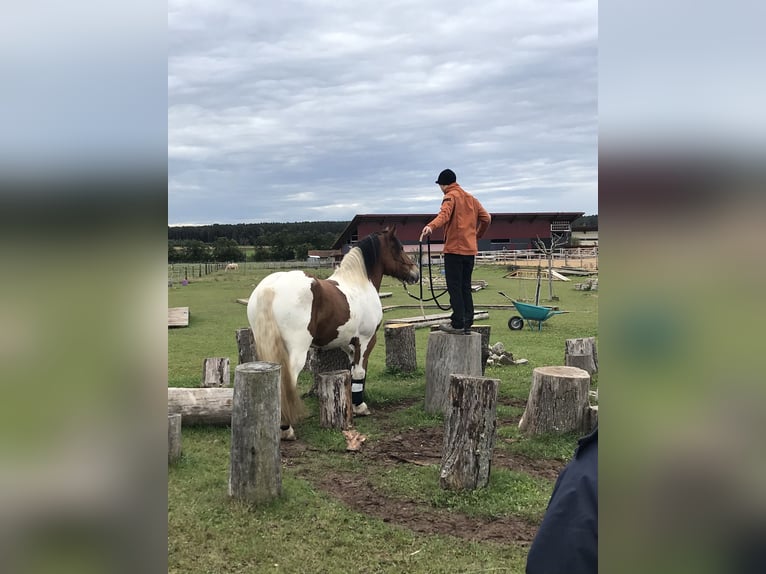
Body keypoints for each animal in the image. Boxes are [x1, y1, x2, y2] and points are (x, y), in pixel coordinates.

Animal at [248, 228, 420, 440]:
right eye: (400, 248)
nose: (415, 273)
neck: (359, 283)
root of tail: (270, 287)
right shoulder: (366, 340)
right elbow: (360, 371)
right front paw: (360, 407)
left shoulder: (348, 343)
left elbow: (353, 371)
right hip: (296, 352)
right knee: (287, 382)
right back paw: (286, 428)